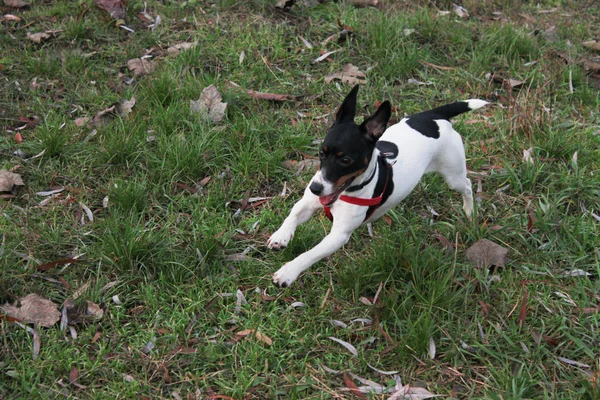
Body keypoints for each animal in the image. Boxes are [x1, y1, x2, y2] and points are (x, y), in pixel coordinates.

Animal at [268, 86, 488, 288]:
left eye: (346, 160)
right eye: (321, 153)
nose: (315, 188)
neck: (346, 191)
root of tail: (434, 116)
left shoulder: (339, 235)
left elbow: (310, 254)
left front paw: (288, 271)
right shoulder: (309, 203)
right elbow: (293, 214)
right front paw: (280, 236)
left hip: (453, 175)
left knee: (467, 185)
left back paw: (470, 211)